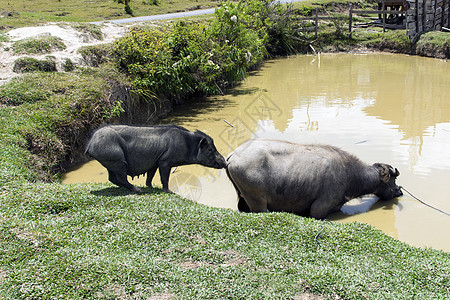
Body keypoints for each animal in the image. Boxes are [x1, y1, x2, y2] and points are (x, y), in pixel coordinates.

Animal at [85, 123, 227, 192]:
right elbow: (164, 177)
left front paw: (151, 187)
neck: (188, 143)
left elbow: (150, 176)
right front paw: (169, 191)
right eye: (211, 149)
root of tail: (90, 143)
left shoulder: (154, 162)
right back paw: (138, 190)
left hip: (110, 161)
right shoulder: (165, 161)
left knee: (112, 178)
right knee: (120, 177)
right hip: (117, 159)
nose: (225, 162)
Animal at [227, 139, 402, 219]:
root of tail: (233, 154)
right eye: (393, 179)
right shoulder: (318, 210)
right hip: (258, 202)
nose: (399, 191)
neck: (350, 174)